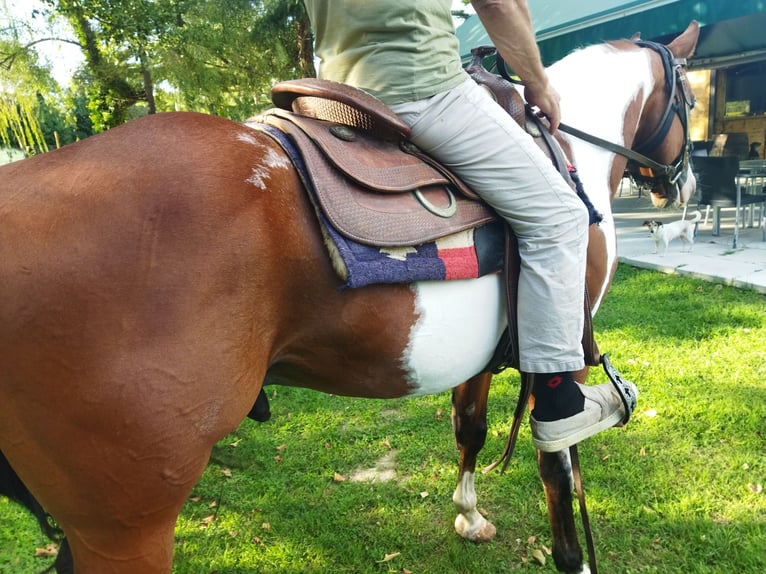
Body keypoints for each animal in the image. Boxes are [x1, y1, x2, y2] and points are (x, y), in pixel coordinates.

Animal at [0, 21, 699, 574]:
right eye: (693, 96)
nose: (685, 184)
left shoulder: (485, 355)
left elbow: (469, 428)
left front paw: (469, 514)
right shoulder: (566, 347)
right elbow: (559, 460)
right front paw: (571, 557)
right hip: (129, 527)